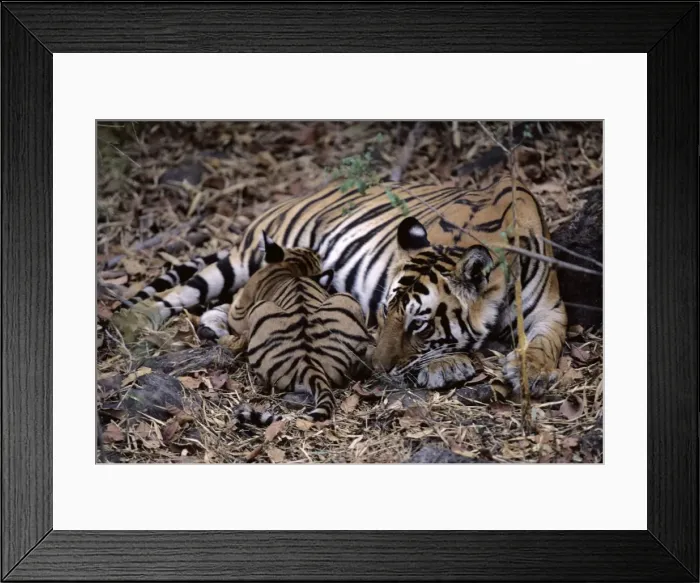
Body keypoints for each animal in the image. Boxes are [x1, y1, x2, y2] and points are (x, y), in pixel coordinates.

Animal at [124, 175, 567, 397]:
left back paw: (217, 327)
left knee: (233, 306)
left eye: (419, 324)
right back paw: (132, 322)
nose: (376, 368)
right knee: (185, 292)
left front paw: (533, 372)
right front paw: (447, 365)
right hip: (249, 258)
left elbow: (548, 341)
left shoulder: (552, 308)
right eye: (386, 311)